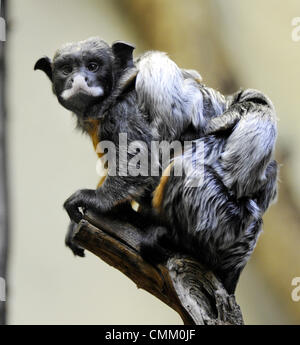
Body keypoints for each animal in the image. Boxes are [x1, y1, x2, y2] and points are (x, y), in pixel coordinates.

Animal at [34, 37, 276, 292]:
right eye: (67, 69)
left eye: (93, 66)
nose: (80, 79)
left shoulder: (125, 111)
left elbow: (142, 161)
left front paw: (96, 199)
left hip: (225, 220)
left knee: (185, 170)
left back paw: (171, 238)